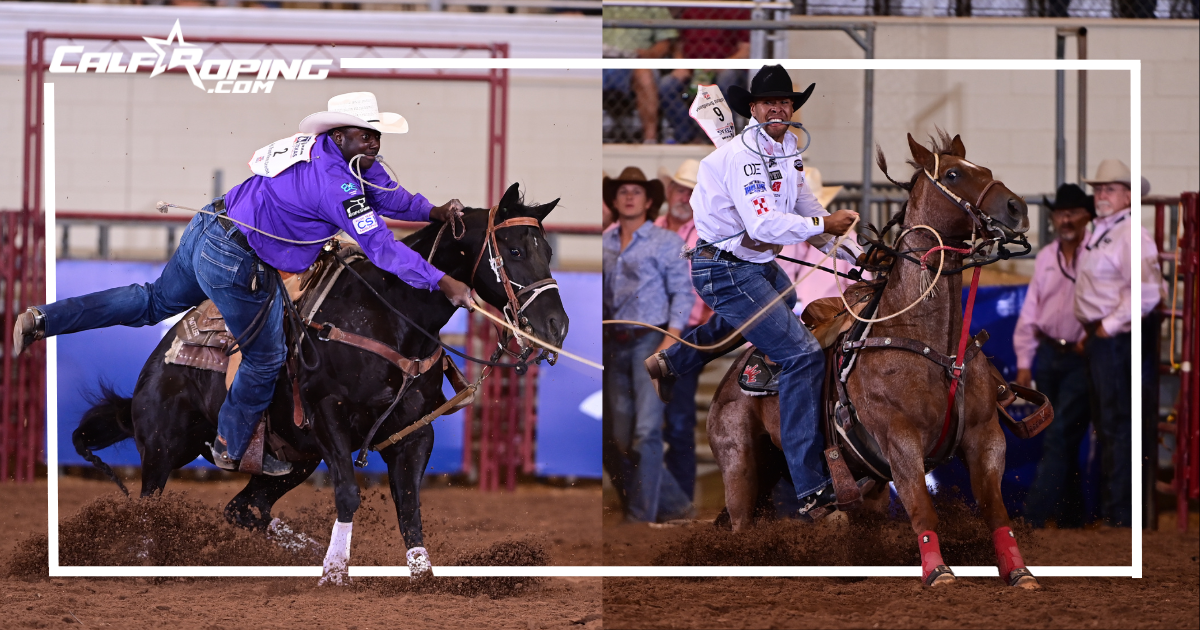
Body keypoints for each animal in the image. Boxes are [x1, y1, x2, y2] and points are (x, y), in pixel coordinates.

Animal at [710, 130, 1041, 588]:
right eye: (953, 174)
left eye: (986, 170)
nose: (1016, 208)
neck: (928, 341)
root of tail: (732, 378)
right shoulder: (898, 438)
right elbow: (922, 508)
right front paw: (939, 572)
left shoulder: (986, 434)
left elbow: (996, 509)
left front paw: (1019, 571)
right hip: (740, 464)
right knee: (742, 526)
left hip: (850, 484)